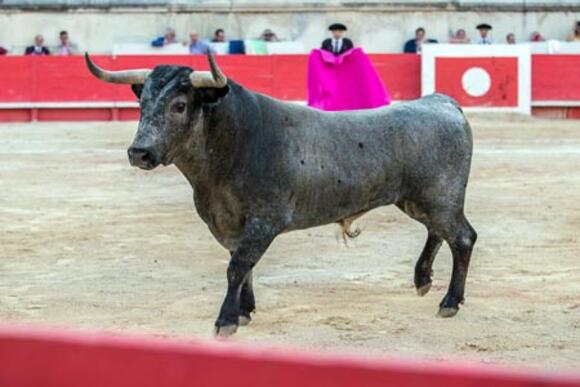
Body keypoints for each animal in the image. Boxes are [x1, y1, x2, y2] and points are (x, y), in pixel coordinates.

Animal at [85, 53, 476, 338]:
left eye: (179, 105)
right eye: (142, 104)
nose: (139, 153)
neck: (232, 146)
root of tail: (442, 102)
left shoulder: (264, 221)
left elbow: (237, 266)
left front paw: (226, 320)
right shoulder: (229, 223)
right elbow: (244, 266)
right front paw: (245, 311)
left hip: (441, 197)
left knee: (462, 238)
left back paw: (449, 301)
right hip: (418, 199)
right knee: (437, 232)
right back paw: (423, 281)